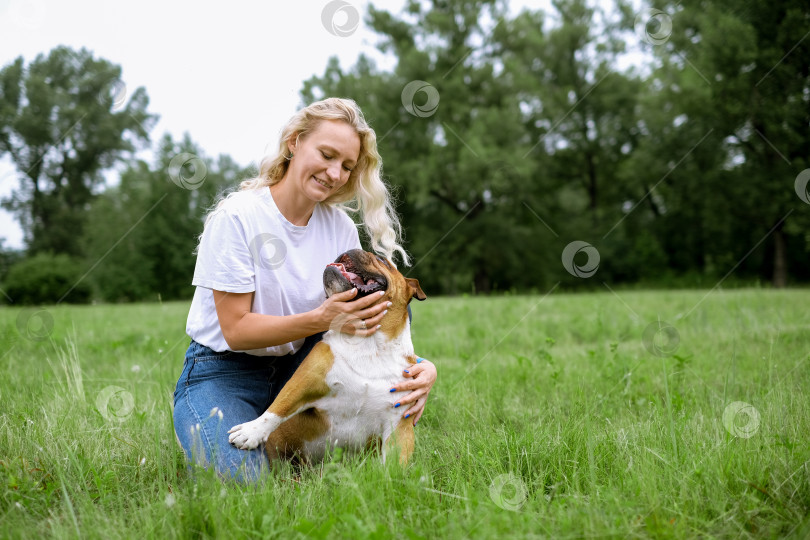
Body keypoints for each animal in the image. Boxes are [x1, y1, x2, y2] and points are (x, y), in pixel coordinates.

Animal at [226, 249, 426, 464]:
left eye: (382, 260)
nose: (353, 248)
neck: (370, 344)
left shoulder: (399, 423)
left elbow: (395, 464)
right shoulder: (305, 381)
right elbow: (279, 406)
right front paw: (250, 432)